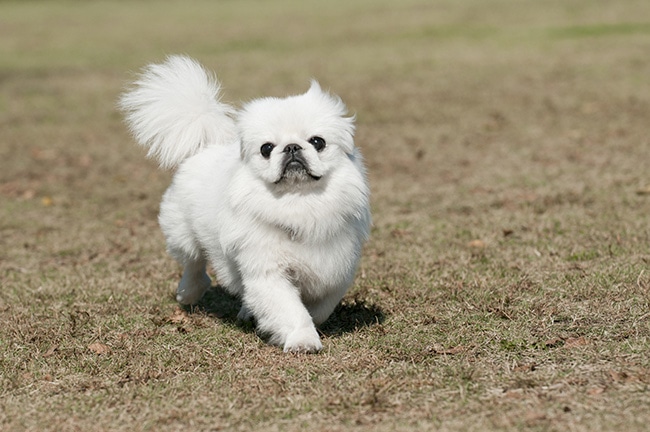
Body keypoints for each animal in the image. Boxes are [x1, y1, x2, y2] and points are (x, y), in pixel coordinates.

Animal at [117, 55, 370, 352]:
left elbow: (320, 308)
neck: (298, 203)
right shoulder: (268, 272)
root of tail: (206, 146)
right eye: (267, 148)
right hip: (184, 235)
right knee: (194, 264)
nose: (292, 147)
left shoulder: (336, 268)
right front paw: (302, 340)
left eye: (317, 142)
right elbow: (291, 310)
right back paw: (187, 294)